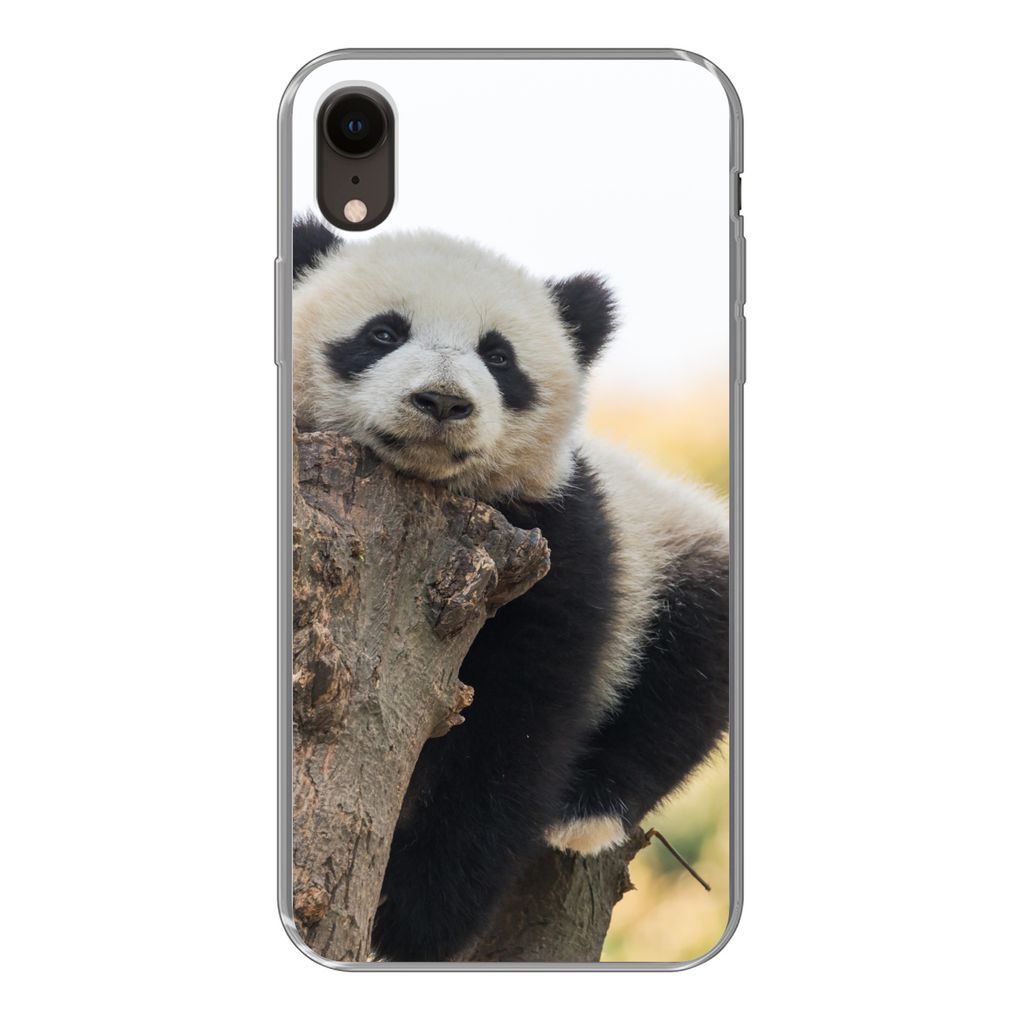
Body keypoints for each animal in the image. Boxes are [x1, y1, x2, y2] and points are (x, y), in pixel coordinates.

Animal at [291, 214, 730, 962]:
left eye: (499, 356)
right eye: (383, 333)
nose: (443, 401)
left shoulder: (555, 539)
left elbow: (515, 726)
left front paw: (406, 925)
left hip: (670, 548)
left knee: (690, 666)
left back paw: (587, 808)